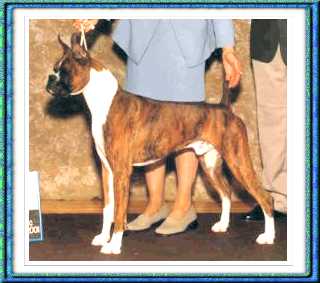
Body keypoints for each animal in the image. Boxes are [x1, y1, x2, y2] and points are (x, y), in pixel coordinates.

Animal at [45, 35, 276, 255]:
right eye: (55, 67)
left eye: (64, 71)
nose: (49, 79)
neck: (105, 102)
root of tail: (224, 108)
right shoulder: (106, 170)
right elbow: (108, 208)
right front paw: (103, 237)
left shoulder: (121, 172)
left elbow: (119, 211)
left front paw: (114, 245)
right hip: (210, 165)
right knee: (226, 193)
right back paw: (223, 225)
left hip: (238, 162)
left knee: (265, 198)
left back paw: (268, 236)